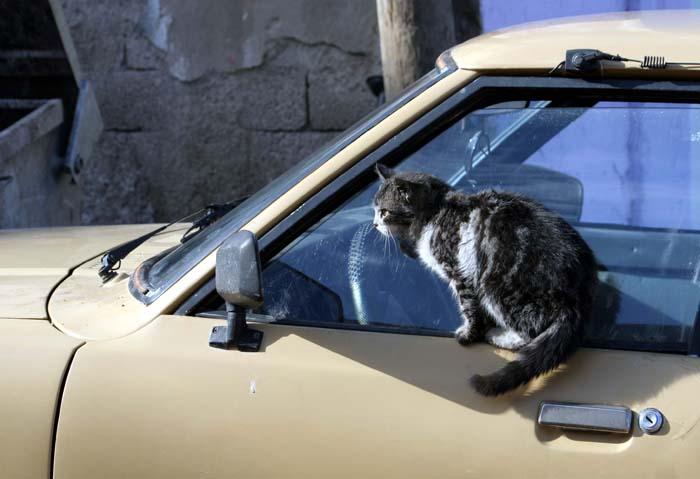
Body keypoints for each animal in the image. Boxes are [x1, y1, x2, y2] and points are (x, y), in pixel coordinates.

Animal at [372, 165, 596, 398]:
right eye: (376, 210)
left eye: (384, 211)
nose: (374, 224)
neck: (436, 212)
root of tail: (576, 298)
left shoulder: (460, 271)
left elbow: (469, 307)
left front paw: (468, 334)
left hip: (496, 286)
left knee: (529, 332)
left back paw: (498, 335)